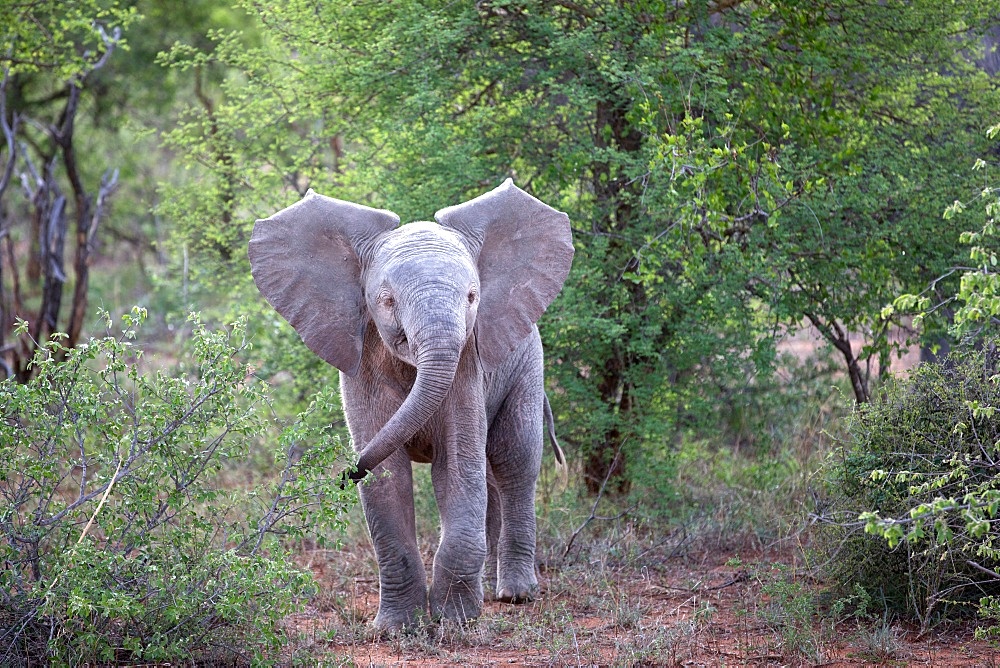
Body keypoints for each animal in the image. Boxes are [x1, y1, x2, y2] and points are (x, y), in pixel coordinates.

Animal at [248, 180, 572, 628]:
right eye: (386, 301)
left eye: (472, 297)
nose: (347, 473)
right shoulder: (362, 364)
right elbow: (389, 480)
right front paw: (398, 627)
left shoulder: (467, 363)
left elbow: (457, 466)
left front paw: (456, 623)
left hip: (525, 364)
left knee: (515, 461)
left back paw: (514, 595)